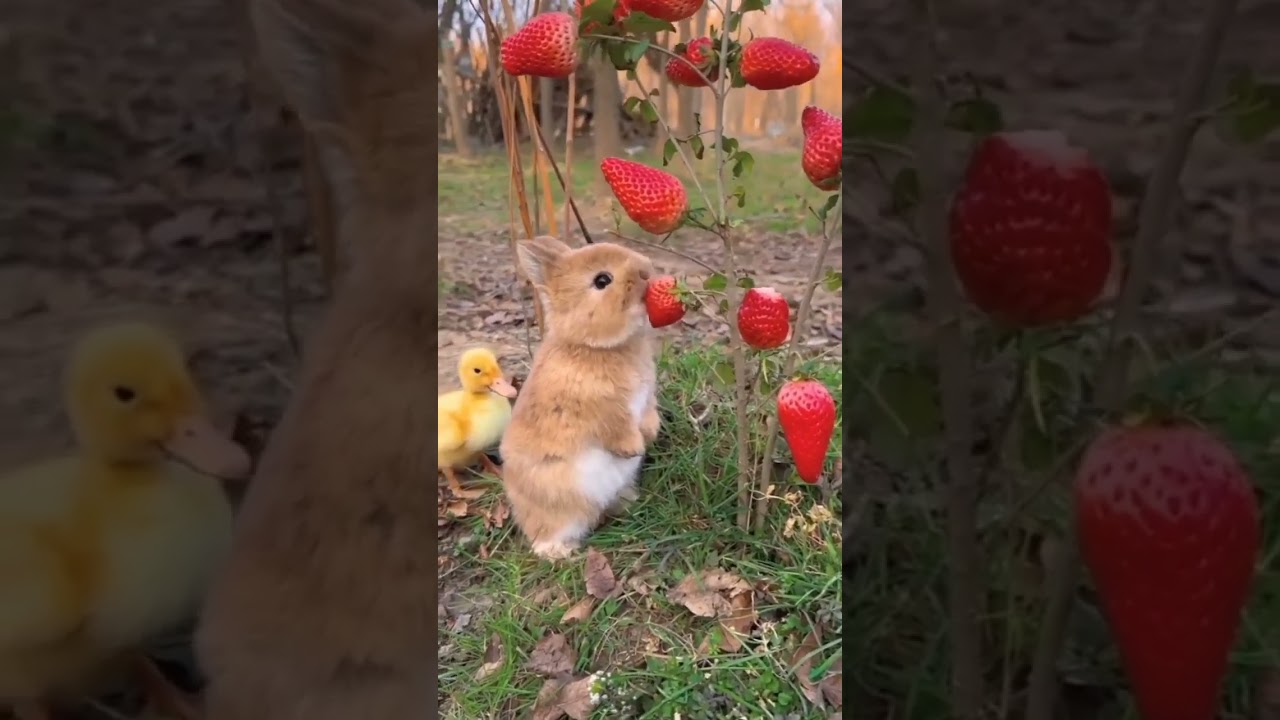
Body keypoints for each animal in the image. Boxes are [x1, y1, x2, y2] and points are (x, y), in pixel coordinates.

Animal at [499, 235, 661, 560]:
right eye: (602, 280)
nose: (647, 272)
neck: (594, 346)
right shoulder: (603, 412)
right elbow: (618, 430)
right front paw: (635, 448)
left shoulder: (646, 398)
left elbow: (649, 414)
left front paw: (651, 434)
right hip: (558, 505)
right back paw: (560, 553)